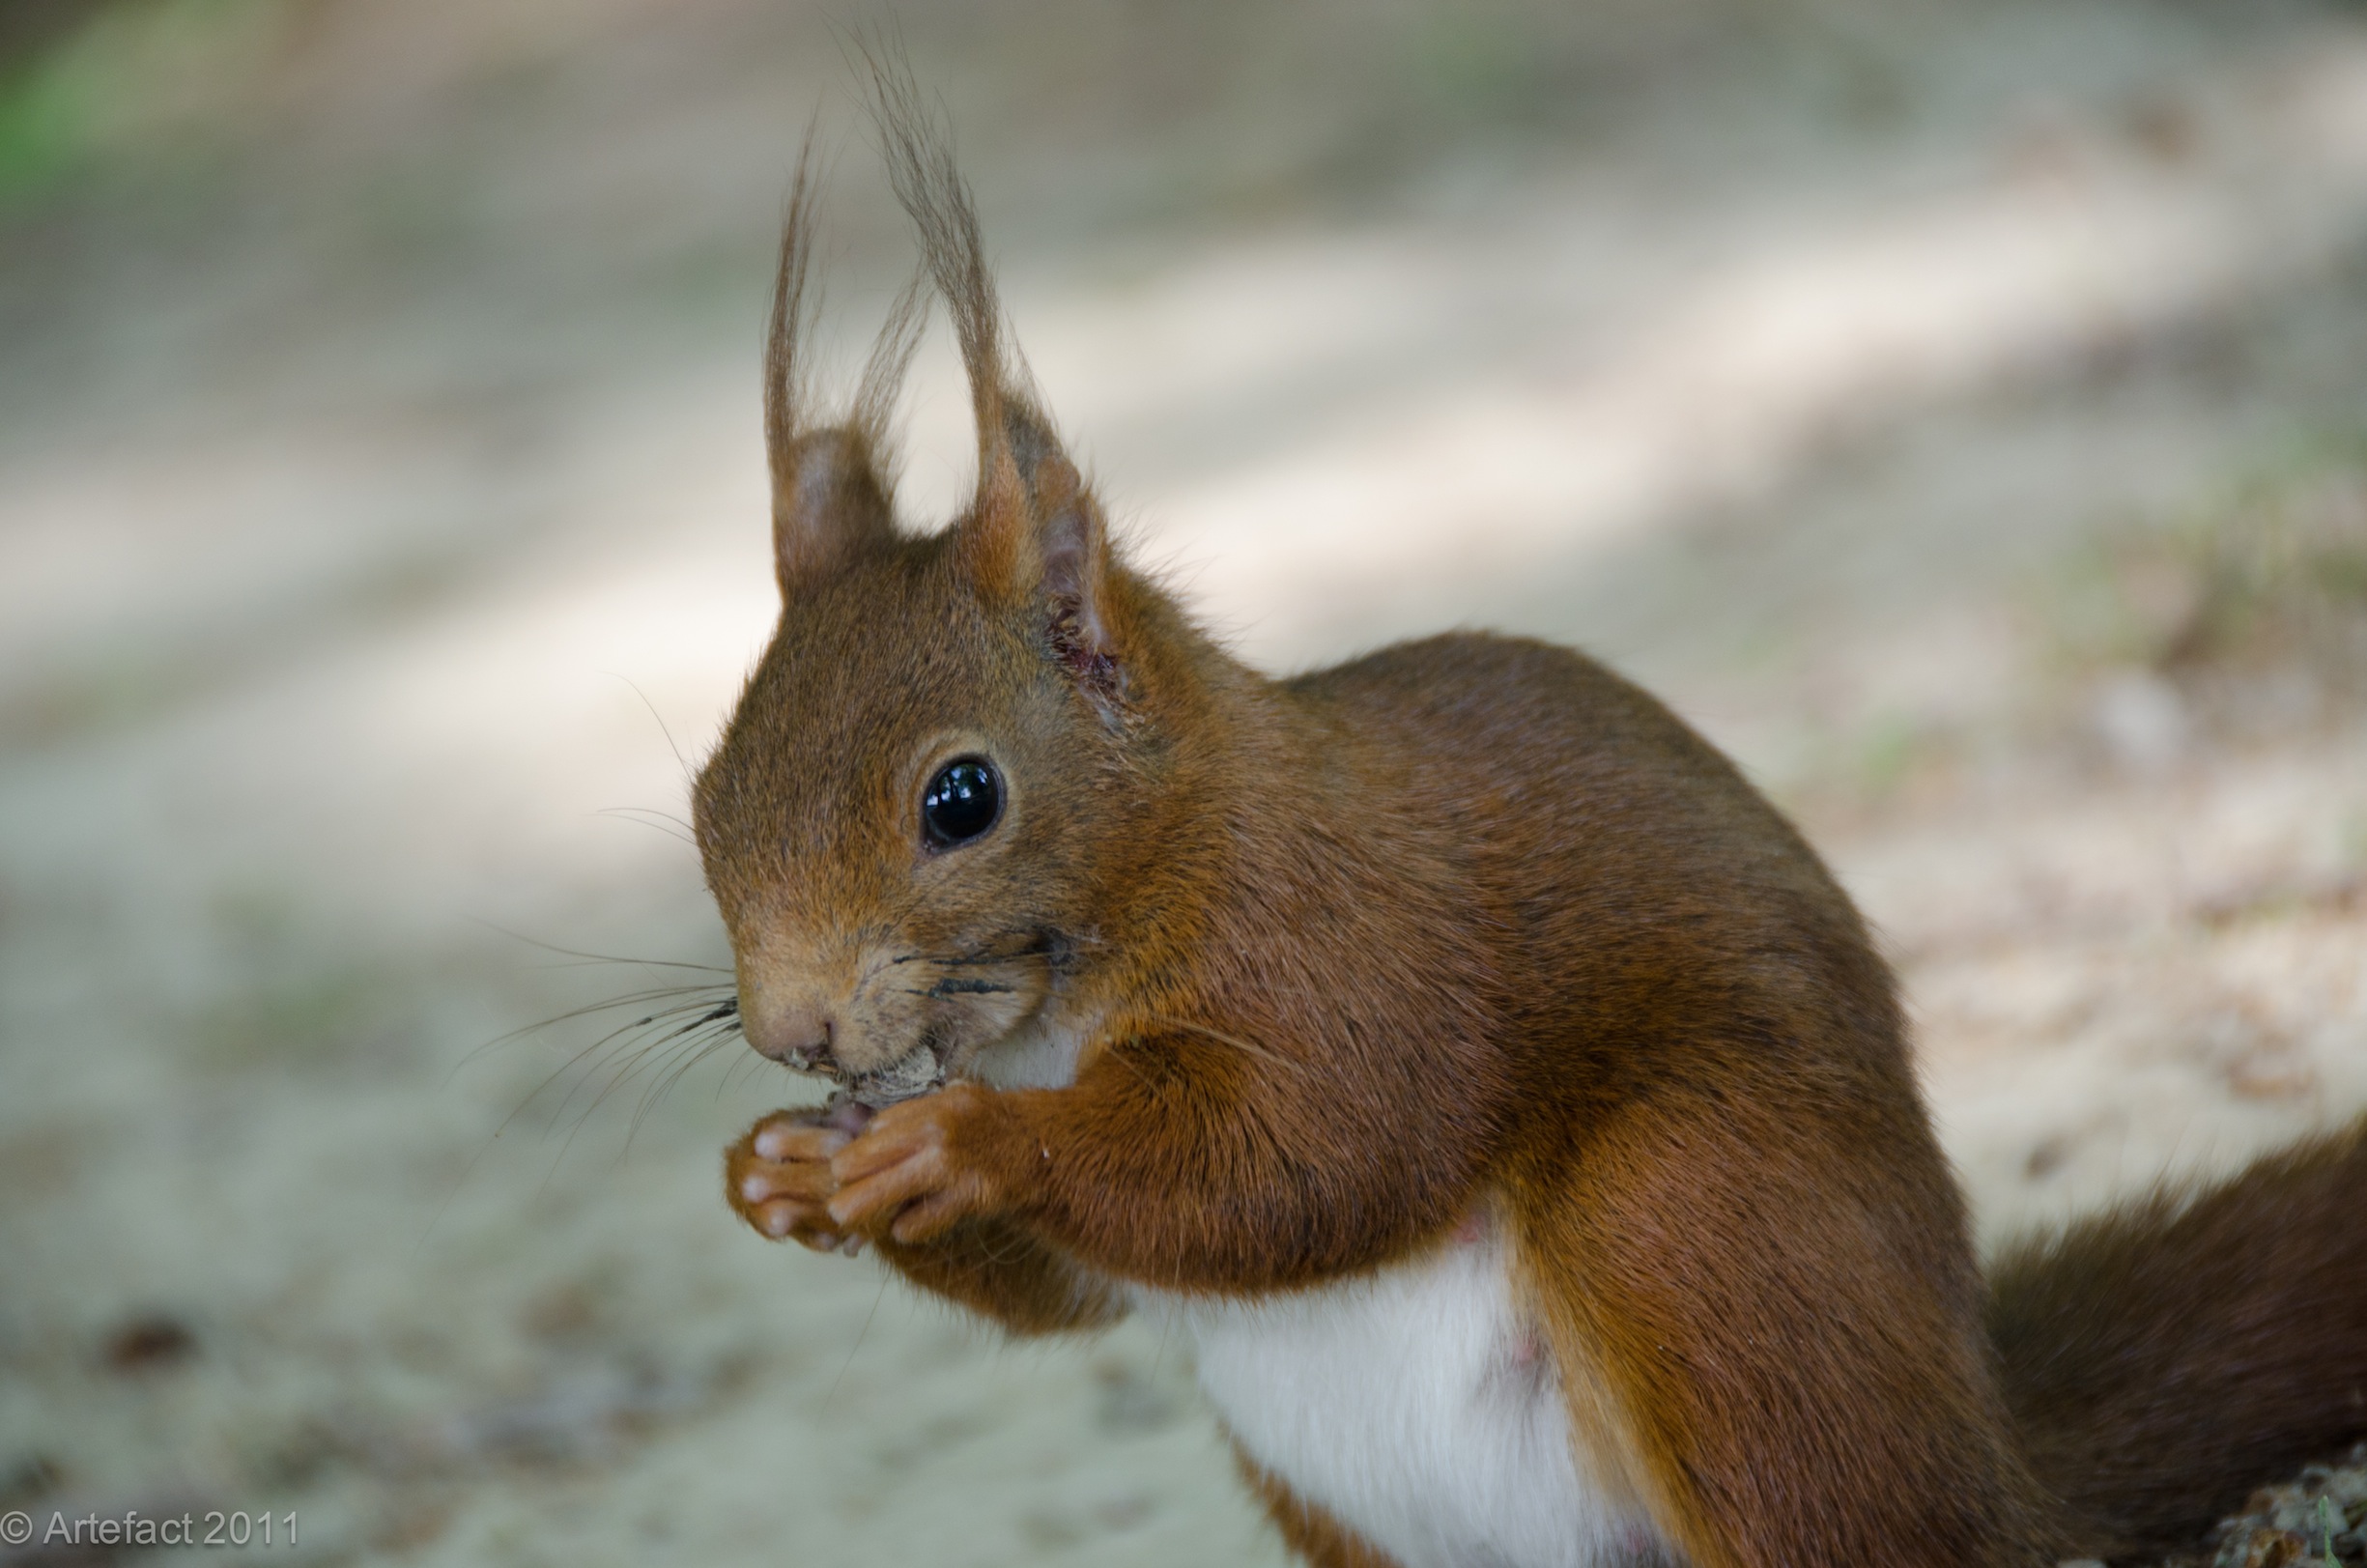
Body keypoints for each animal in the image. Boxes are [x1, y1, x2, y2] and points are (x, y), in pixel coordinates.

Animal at [691, 82, 2367, 1568]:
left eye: (960, 798)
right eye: (703, 801)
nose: (791, 1031)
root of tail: (1995, 1455)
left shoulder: (1345, 944)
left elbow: (1315, 1149)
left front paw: (960, 1139)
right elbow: (1079, 1291)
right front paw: (773, 1171)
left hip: (1697, 1231)